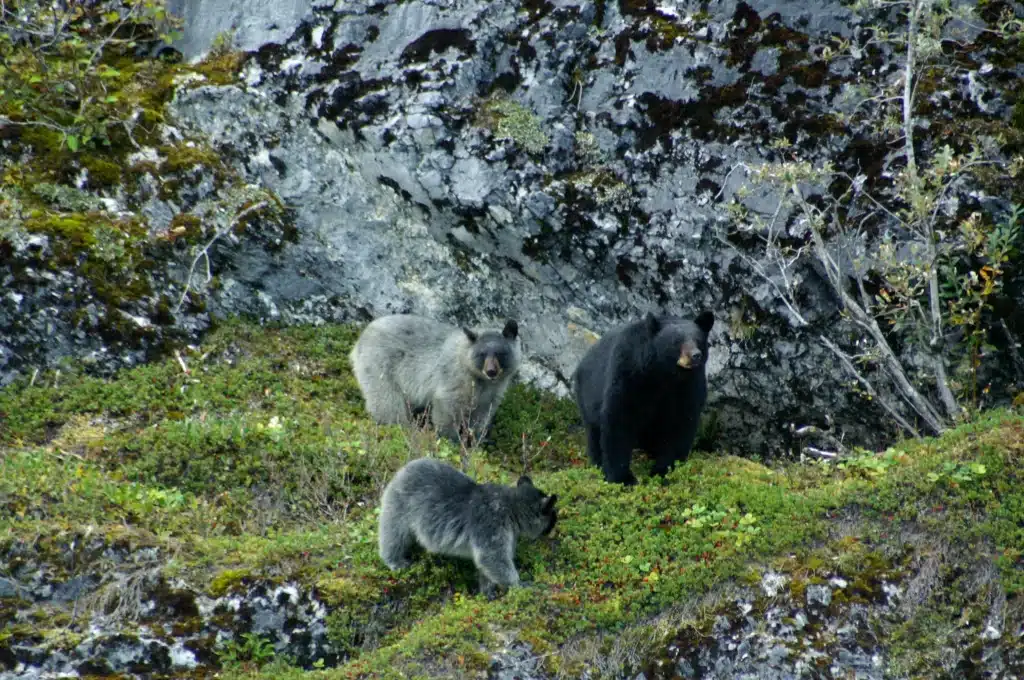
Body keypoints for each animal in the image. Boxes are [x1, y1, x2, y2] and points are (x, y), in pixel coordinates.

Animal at [349, 314, 521, 447]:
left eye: (500, 353)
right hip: (379, 365)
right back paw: (401, 426)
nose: (491, 371)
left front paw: (477, 440)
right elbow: (446, 404)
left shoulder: (493, 392)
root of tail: (361, 337)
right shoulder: (456, 377)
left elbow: (482, 414)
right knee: (386, 400)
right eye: (482, 354)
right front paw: (451, 439)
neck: (480, 379)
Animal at [378, 457, 558, 596]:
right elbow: (492, 558)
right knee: (393, 534)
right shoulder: (491, 525)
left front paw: (487, 590)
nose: (554, 527)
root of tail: (401, 470)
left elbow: (487, 563)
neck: (511, 507)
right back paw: (395, 560)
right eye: (553, 516)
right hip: (398, 507)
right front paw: (520, 584)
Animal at [572, 310, 714, 485]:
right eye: (676, 341)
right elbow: (619, 418)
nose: (695, 356)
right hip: (587, 396)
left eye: (698, 340)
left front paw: (663, 471)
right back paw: (598, 464)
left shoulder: (690, 385)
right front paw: (622, 478)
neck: (665, 374)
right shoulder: (629, 372)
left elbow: (681, 422)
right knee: (594, 433)